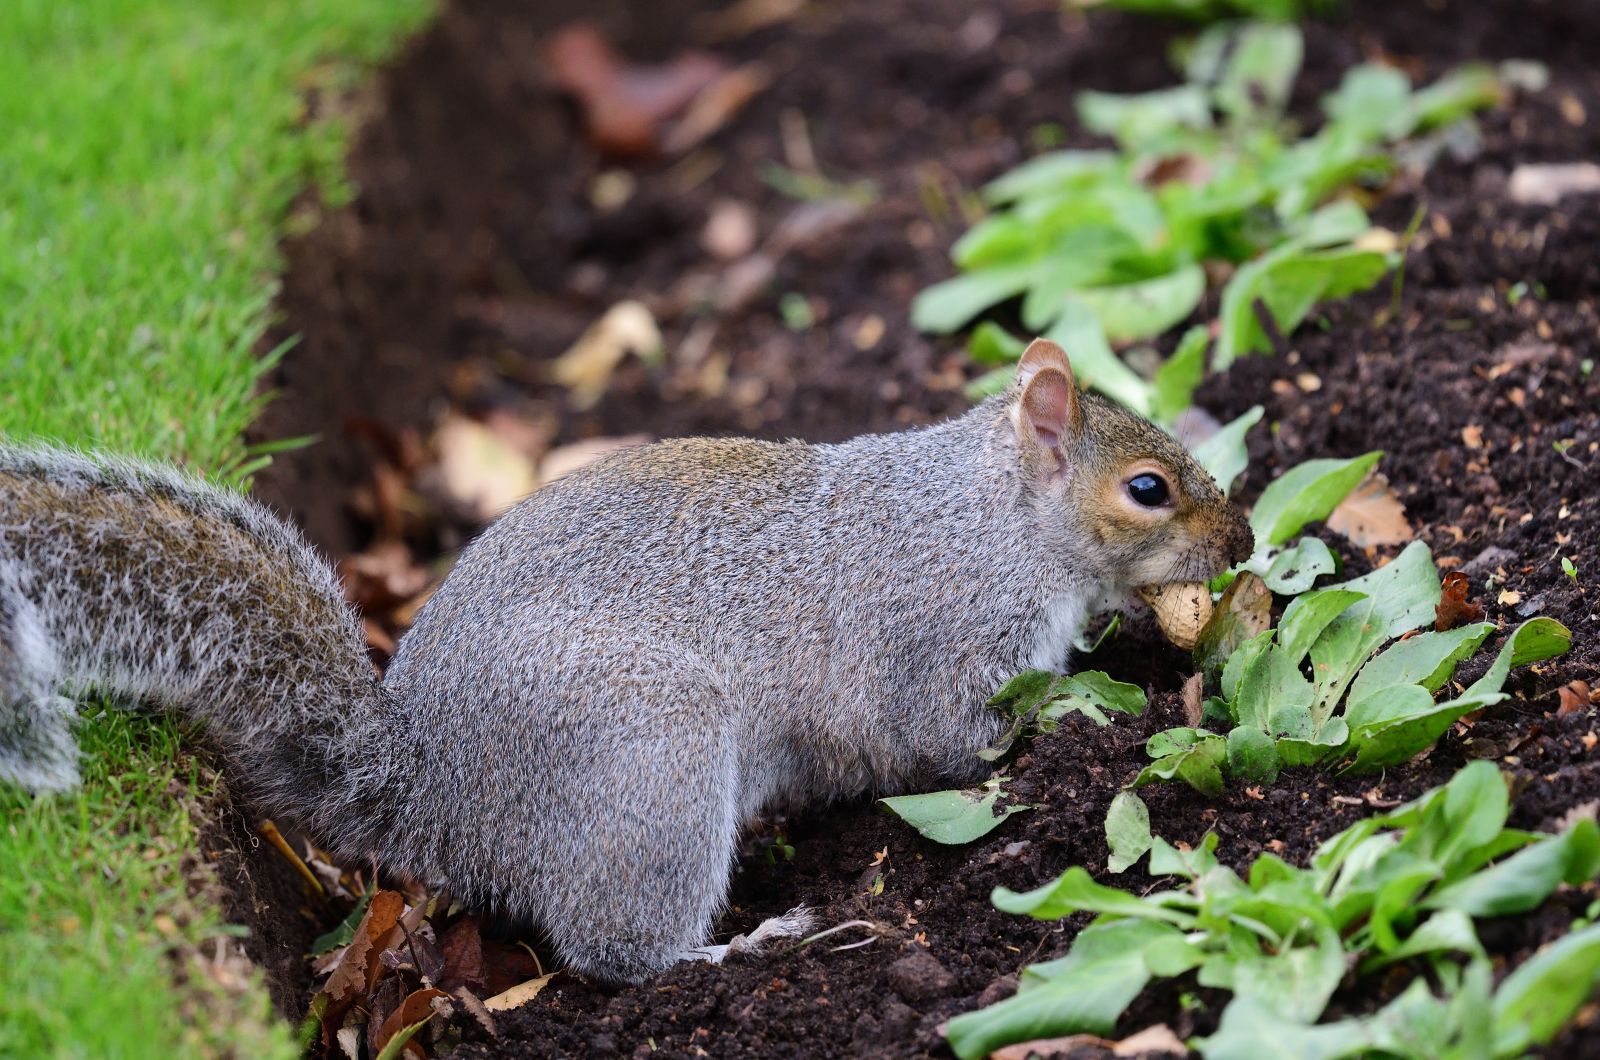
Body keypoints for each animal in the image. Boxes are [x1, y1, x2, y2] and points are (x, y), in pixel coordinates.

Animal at [0, 342, 1248, 986]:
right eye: (1147, 488)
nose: (1239, 542)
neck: (989, 518)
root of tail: (434, 797)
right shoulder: (939, 646)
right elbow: (960, 741)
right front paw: (1083, 711)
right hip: (648, 750)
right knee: (614, 952)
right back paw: (738, 946)